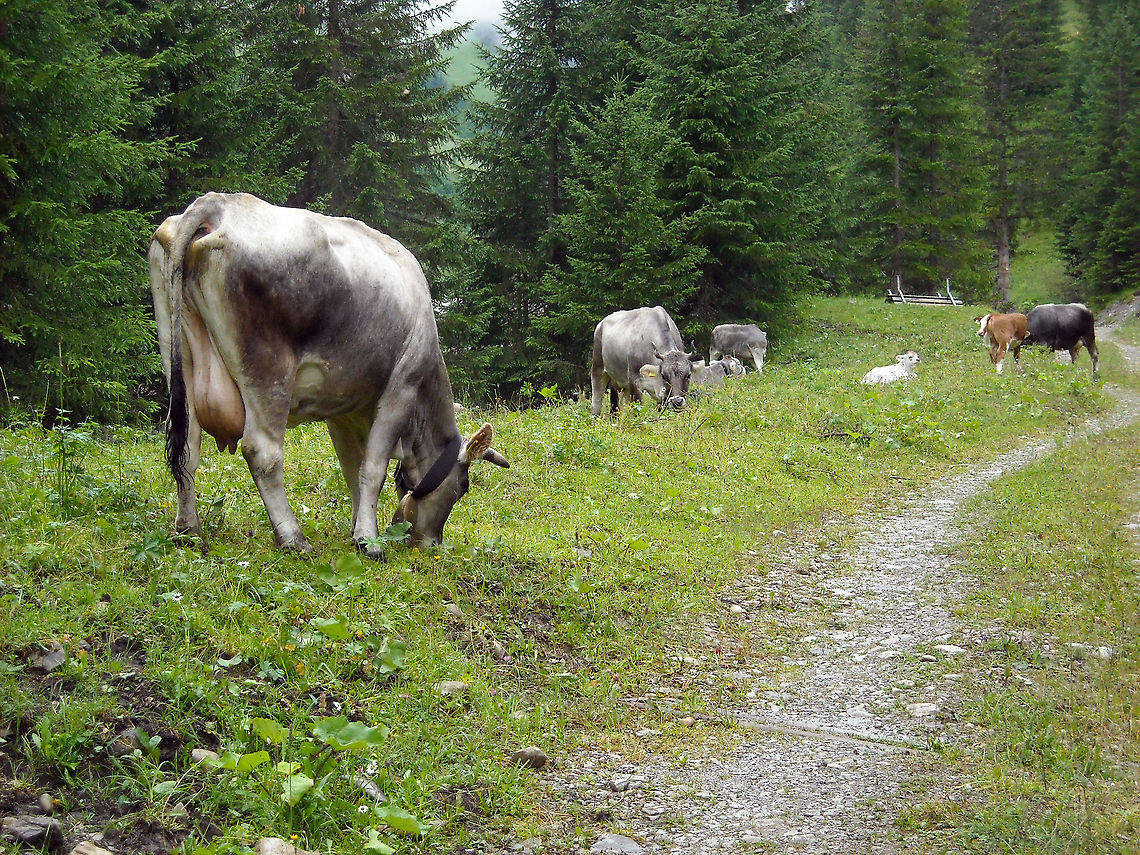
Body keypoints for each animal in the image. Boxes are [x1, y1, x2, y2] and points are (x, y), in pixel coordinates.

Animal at [148, 192, 509, 558]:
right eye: (462, 487)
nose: (430, 542)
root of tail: (219, 204)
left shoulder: (343, 410)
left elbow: (352, 468)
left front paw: (358, 528)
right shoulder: (401, 390)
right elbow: (372, 468)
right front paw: (368, 541)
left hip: (177, 355)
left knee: (187, 447)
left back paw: (188, 530)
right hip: (268, 371)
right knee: (263, 451)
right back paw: (293, 537)